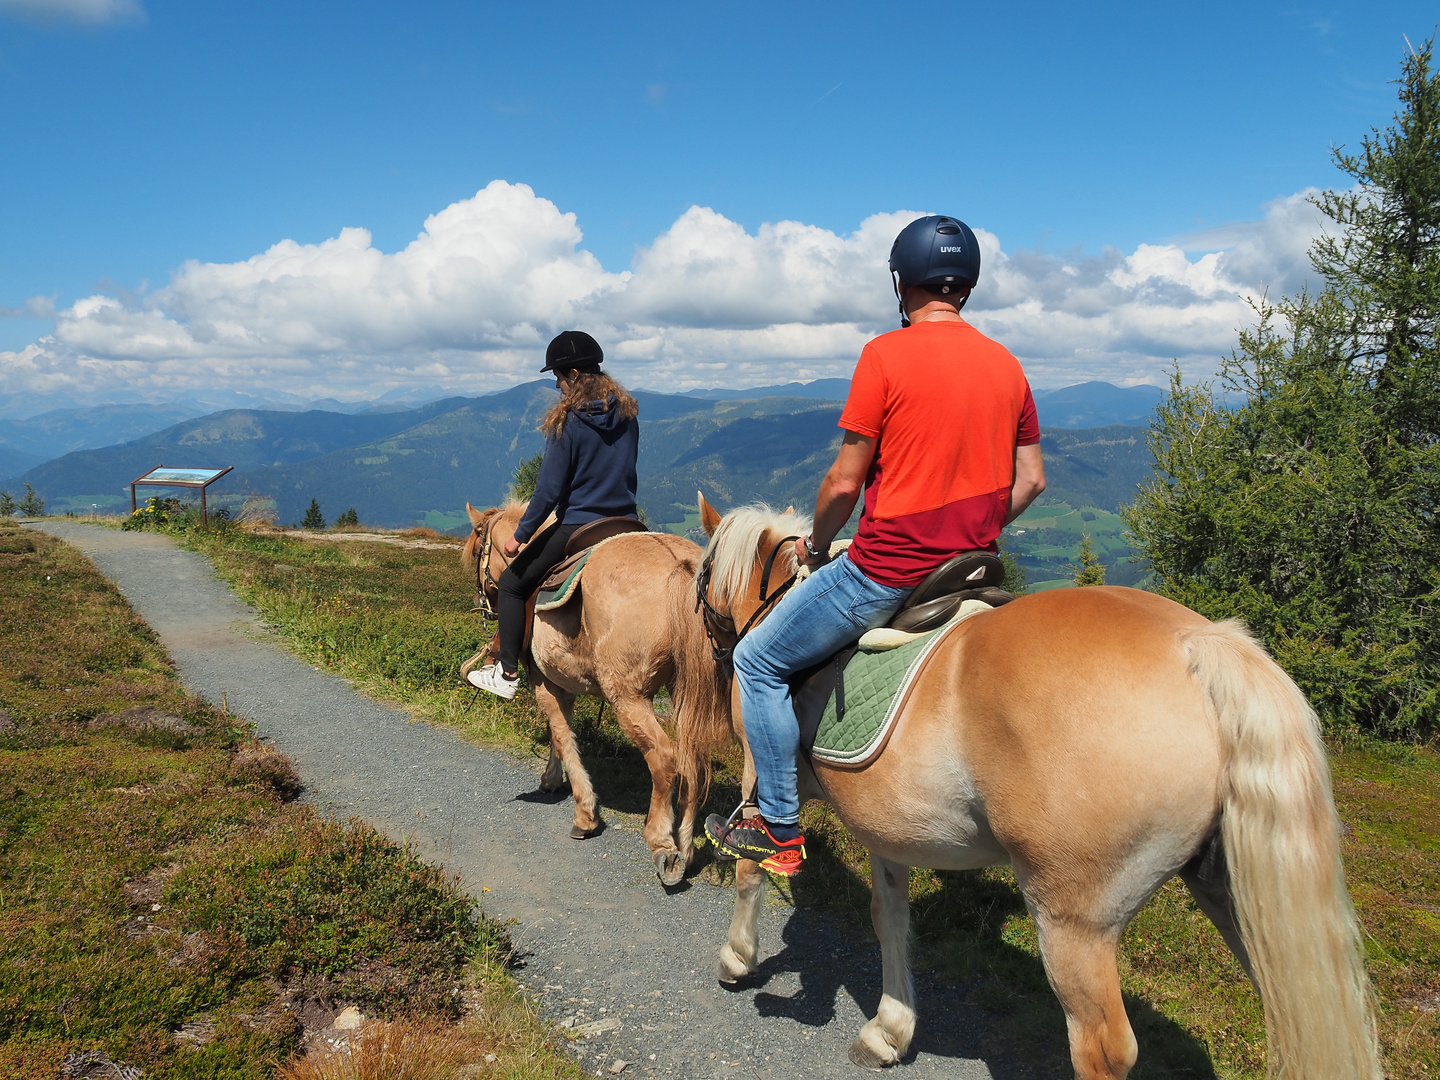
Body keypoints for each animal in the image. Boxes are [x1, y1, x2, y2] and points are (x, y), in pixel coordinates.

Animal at [463, 504, 731, 881]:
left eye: (476, 552)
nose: (485, 603)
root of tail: (680, 562)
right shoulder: (561, 681)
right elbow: (559, 732)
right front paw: (551, 779)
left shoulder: (543, 683)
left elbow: (562, 736)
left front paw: (585, 814)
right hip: (686, 694)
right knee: (694, 760)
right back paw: (687, 846)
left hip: (629, 698)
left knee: (665, 758)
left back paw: (663, 844)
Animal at [688, 498, 1382, 1080]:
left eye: (701, 580)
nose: (718, 652)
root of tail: (1199, 645)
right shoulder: (887, 825)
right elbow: (890, 919)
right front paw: (890, 1030)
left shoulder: (762, 772)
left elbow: (752, 866)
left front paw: (737, 958)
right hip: (1240, 898)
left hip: (1075, 919)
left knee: (1102, 1047)